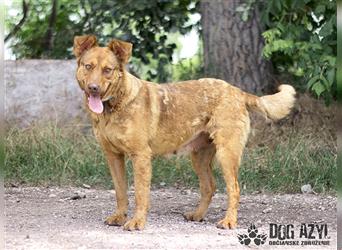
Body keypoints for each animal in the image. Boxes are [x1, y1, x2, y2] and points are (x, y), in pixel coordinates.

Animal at [73, 34, 296, 230]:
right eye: (88, 66)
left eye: (108, 70)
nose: (93, 88)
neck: (114, 107)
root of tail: (238, 91)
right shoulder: (113, 156)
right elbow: (120, 191)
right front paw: (119, 217)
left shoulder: (140, 156)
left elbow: (140, 194)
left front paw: (137, 222)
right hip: (199, 157)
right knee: (209, 187)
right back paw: (197, 215)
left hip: (227, 154)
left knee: (234, 189)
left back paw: (229, 221)